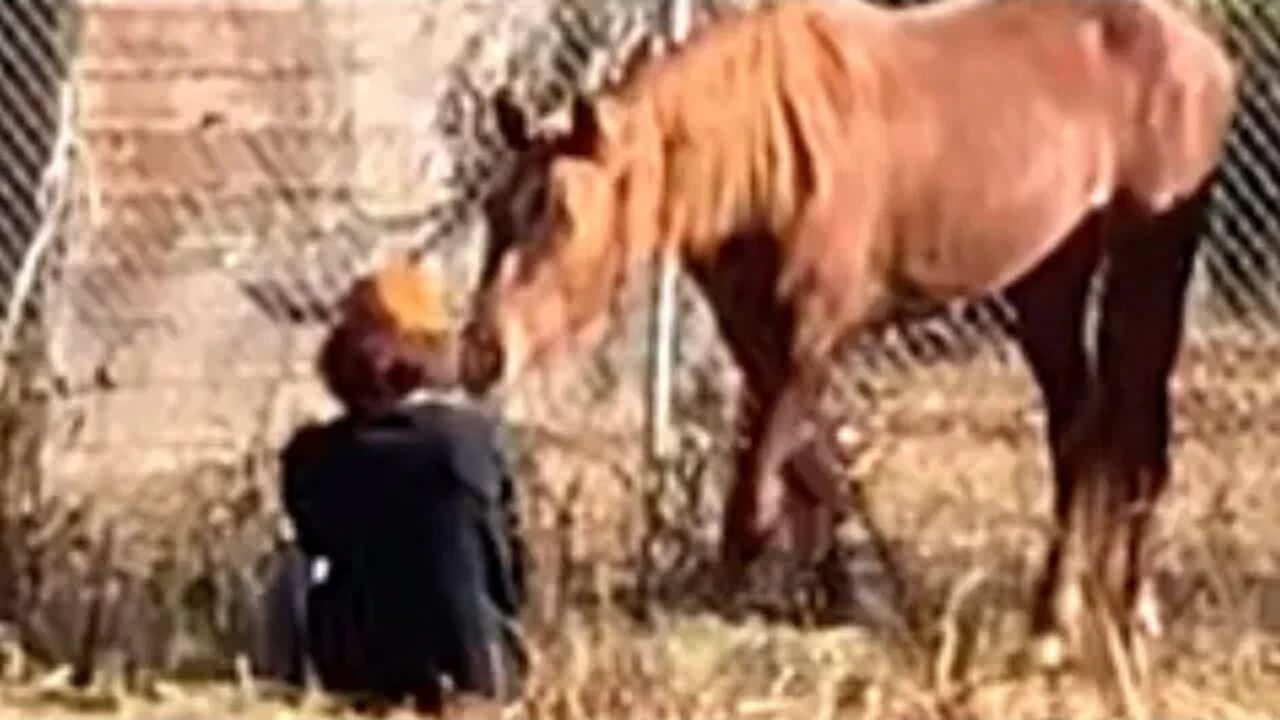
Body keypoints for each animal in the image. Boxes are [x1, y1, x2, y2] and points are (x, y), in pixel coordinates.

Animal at [424, 0, 1233, 666]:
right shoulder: (756, 340)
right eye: (495, 207)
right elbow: (812, 477)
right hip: (1048, 279)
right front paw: (846, 599)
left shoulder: (813, 340)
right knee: (1079, 430)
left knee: (1139, 428)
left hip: (1151, 258)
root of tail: (1210, 56)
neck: (759, 162)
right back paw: (1052, 624)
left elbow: (755, 499)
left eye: (562, 215)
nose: (482, 352)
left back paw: (1130, 614)